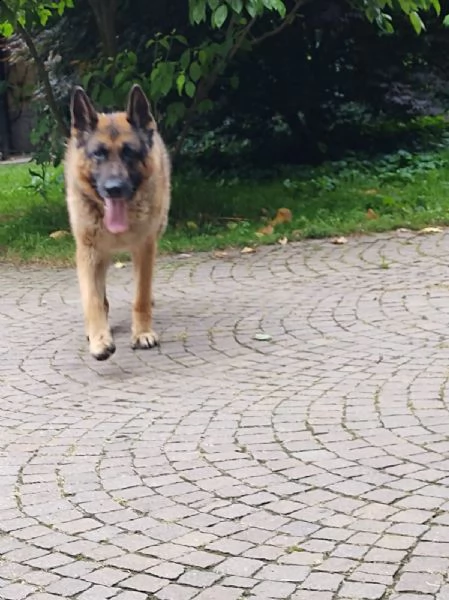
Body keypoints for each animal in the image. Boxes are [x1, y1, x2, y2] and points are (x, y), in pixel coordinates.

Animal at [65, 84, 172, 360]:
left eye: (129, 153)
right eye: (98, 154)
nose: (114, 189)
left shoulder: (144, 248)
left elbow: (140, 296)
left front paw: (142, 333)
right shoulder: (88, 252)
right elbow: (92, 299)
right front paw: (99, 339)